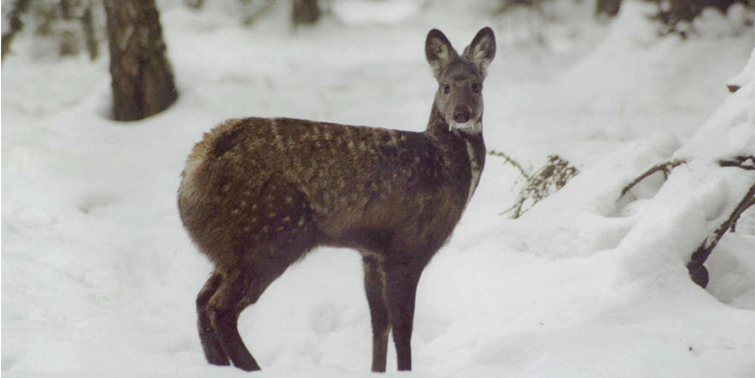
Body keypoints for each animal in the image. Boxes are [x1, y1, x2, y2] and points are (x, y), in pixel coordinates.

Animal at [177, 26, 496, 372]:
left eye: (477, 85)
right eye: (445, 86)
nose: (461, 115)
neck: (443, 165)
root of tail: (193, 170)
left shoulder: (372, 254)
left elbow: (380, 325)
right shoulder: (407, 247)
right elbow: (402, 329)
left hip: (230, 249)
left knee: (201, 301)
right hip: (270, 236)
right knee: (220, 308)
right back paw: (253, 368)